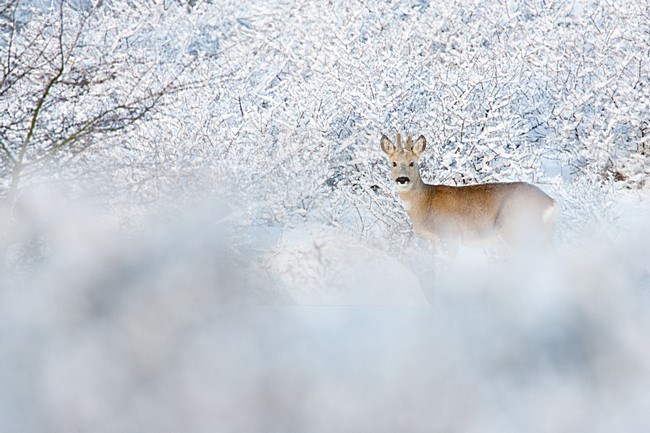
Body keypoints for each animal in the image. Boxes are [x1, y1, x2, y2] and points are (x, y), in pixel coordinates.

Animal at [380, 132, 556, 253]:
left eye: (412, 163)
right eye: (393, 163)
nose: (402, 179)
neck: (425, 204)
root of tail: (552, 204)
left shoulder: (451, 234)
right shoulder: (435, 240)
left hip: (517, 229)